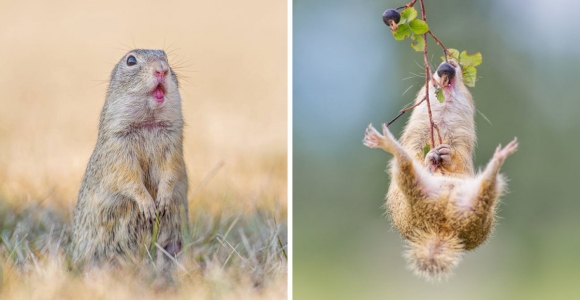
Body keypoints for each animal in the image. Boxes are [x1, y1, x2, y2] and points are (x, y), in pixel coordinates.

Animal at [70, 49, 188, 268]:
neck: (148, 123)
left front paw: (163, 198)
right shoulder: (118, 150)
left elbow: (171, 171)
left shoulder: (173, 146)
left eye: (166, 57)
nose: (162, 69)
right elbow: (127, 178)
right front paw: (148, 205)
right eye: (131, 60)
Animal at [364, 59, 520, 280]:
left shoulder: (463, 148)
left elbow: (459, 159)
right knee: (405, 161)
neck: (442, 128)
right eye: (427, 84)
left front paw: (446, 153)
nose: (446, 67)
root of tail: (441, 228)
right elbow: (416, 154)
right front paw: (431, 156)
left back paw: (500, 156)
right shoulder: (414, 141)